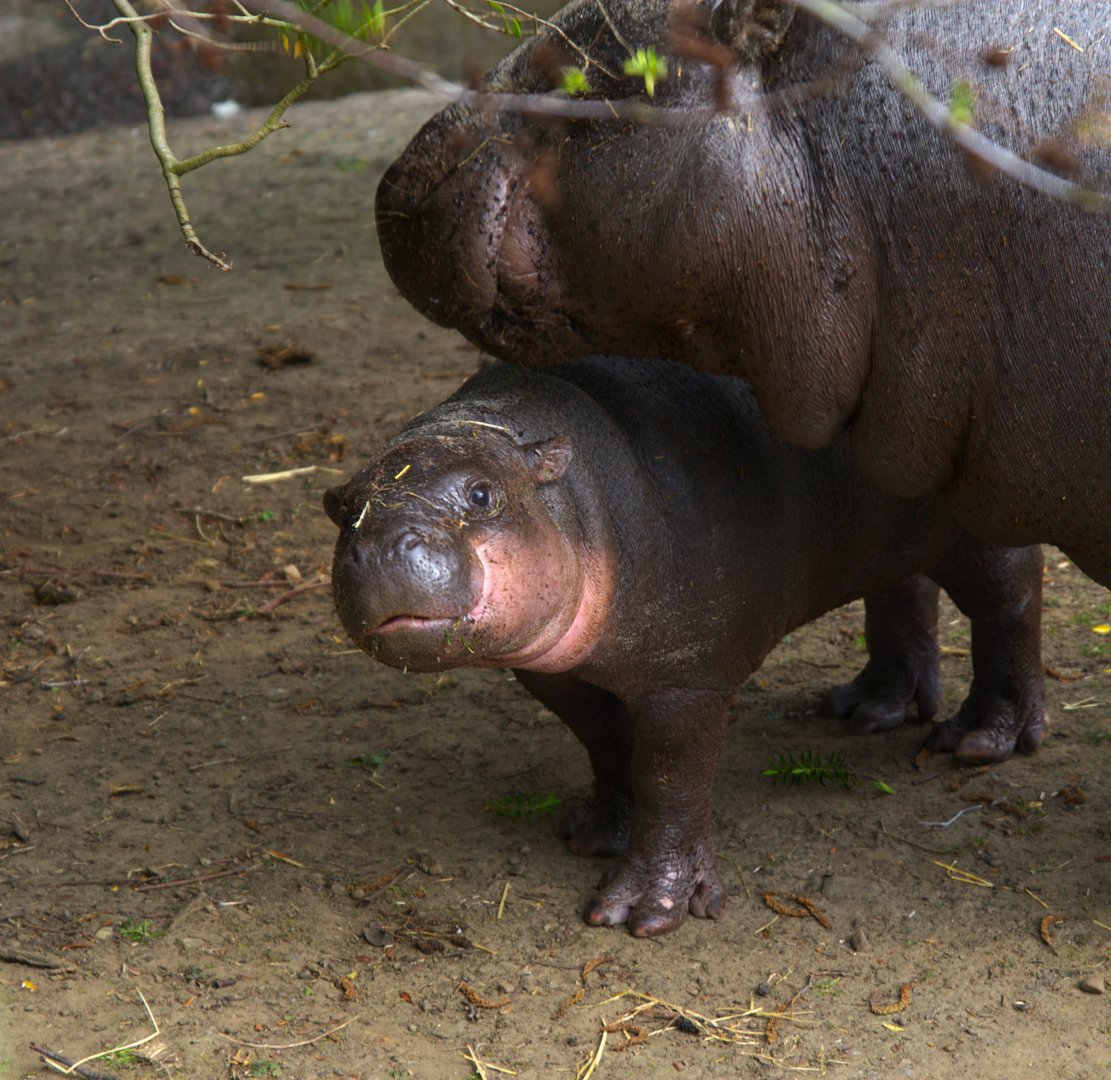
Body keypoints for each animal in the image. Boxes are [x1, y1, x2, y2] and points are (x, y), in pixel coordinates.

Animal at [325, 357, 1044, 936]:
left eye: (482, 494)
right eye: (344, 510)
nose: (382, 546)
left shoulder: (687, 678)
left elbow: (670, 777)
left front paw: (643, 913)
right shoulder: (551, 673)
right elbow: (606, 742)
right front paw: (592, 835)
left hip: (977, 530)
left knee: (1011, 599)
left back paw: (980, 741)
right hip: (885, 541)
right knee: (902, 588)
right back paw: (869, 710)